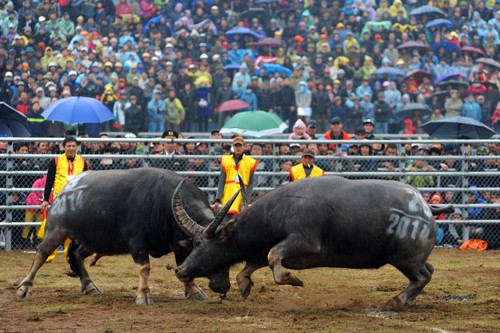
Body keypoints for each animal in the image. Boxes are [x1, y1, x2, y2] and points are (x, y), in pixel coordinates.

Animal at [16, 169, 239, 304]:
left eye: (227, 254)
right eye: (203, 247)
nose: (223, 286)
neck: (163, 203)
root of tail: (66, 190)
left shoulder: (178, 245)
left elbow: (183, 265)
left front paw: (194, 291)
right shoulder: (137, 242)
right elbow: (144, 268)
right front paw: (143, 296)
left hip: (93, 240)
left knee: (77, 255)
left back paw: (90, 287)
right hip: (57, 230)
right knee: (41, 254)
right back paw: (24, 289)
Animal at [173, 176, 454, 308]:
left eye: (200, 244)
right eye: (193, 242)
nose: (180, 270)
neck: (280, 211)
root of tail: (425, 206)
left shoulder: (303, 243)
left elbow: (273, 257)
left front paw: (292, 279)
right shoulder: (262, 250)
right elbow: (252, 265)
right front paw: (244, 286)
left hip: (405, 259)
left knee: (422, 276)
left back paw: (396, 301)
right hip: (411, 259)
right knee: (428, 271)